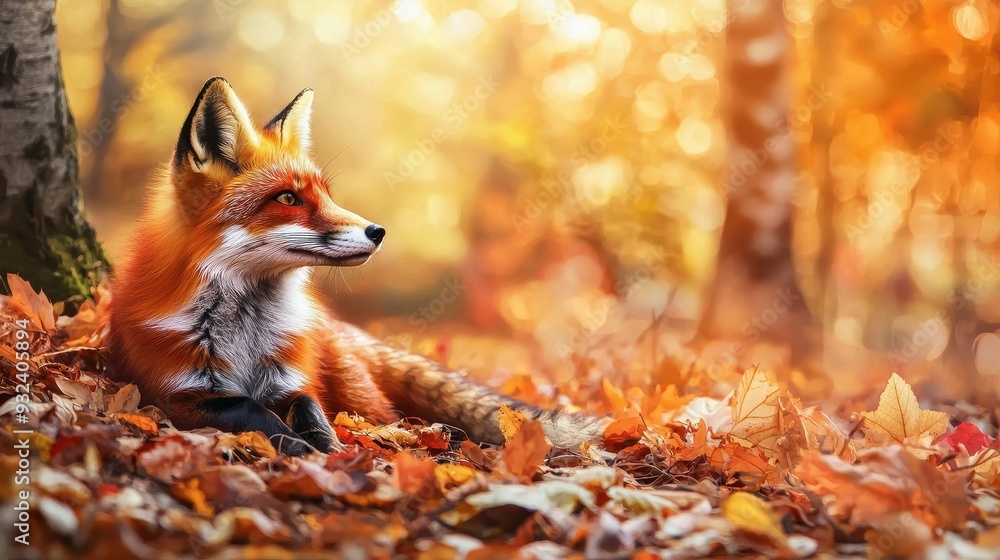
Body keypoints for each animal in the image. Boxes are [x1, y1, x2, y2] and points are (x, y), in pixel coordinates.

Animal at [107, 77, 607, 456]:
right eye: (287, 198)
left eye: (327, 195)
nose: (378, 231)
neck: (247, 336)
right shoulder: (173, 393)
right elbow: (249, 410)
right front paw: (297, 446)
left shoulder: (291, 380)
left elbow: (311, 409)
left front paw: (327, 445)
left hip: (361, 398)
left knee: (385, 416)